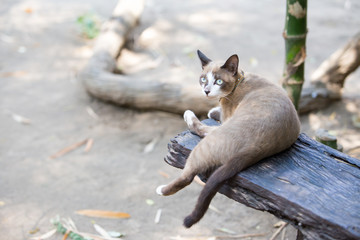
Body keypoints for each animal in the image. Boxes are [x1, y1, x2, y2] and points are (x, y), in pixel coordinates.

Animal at [156, 50, 300, 227]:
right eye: (203, 79)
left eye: (218, 81)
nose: (206, 91)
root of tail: (258, 148)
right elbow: (214, 112)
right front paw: (212, 110)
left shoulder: (226, 117)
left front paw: (211, 111)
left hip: (209, 141)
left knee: (189, 172)